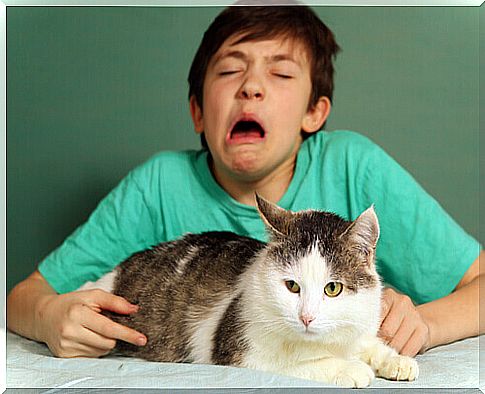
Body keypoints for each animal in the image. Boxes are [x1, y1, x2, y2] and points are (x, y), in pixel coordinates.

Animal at [78, 194, 416, 388]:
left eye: (332, 288)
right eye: (292, 286)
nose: (306, 318)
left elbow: (368, 344)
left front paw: (395, 360)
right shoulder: (244, 355)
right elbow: (300, 365)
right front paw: (351, 368)